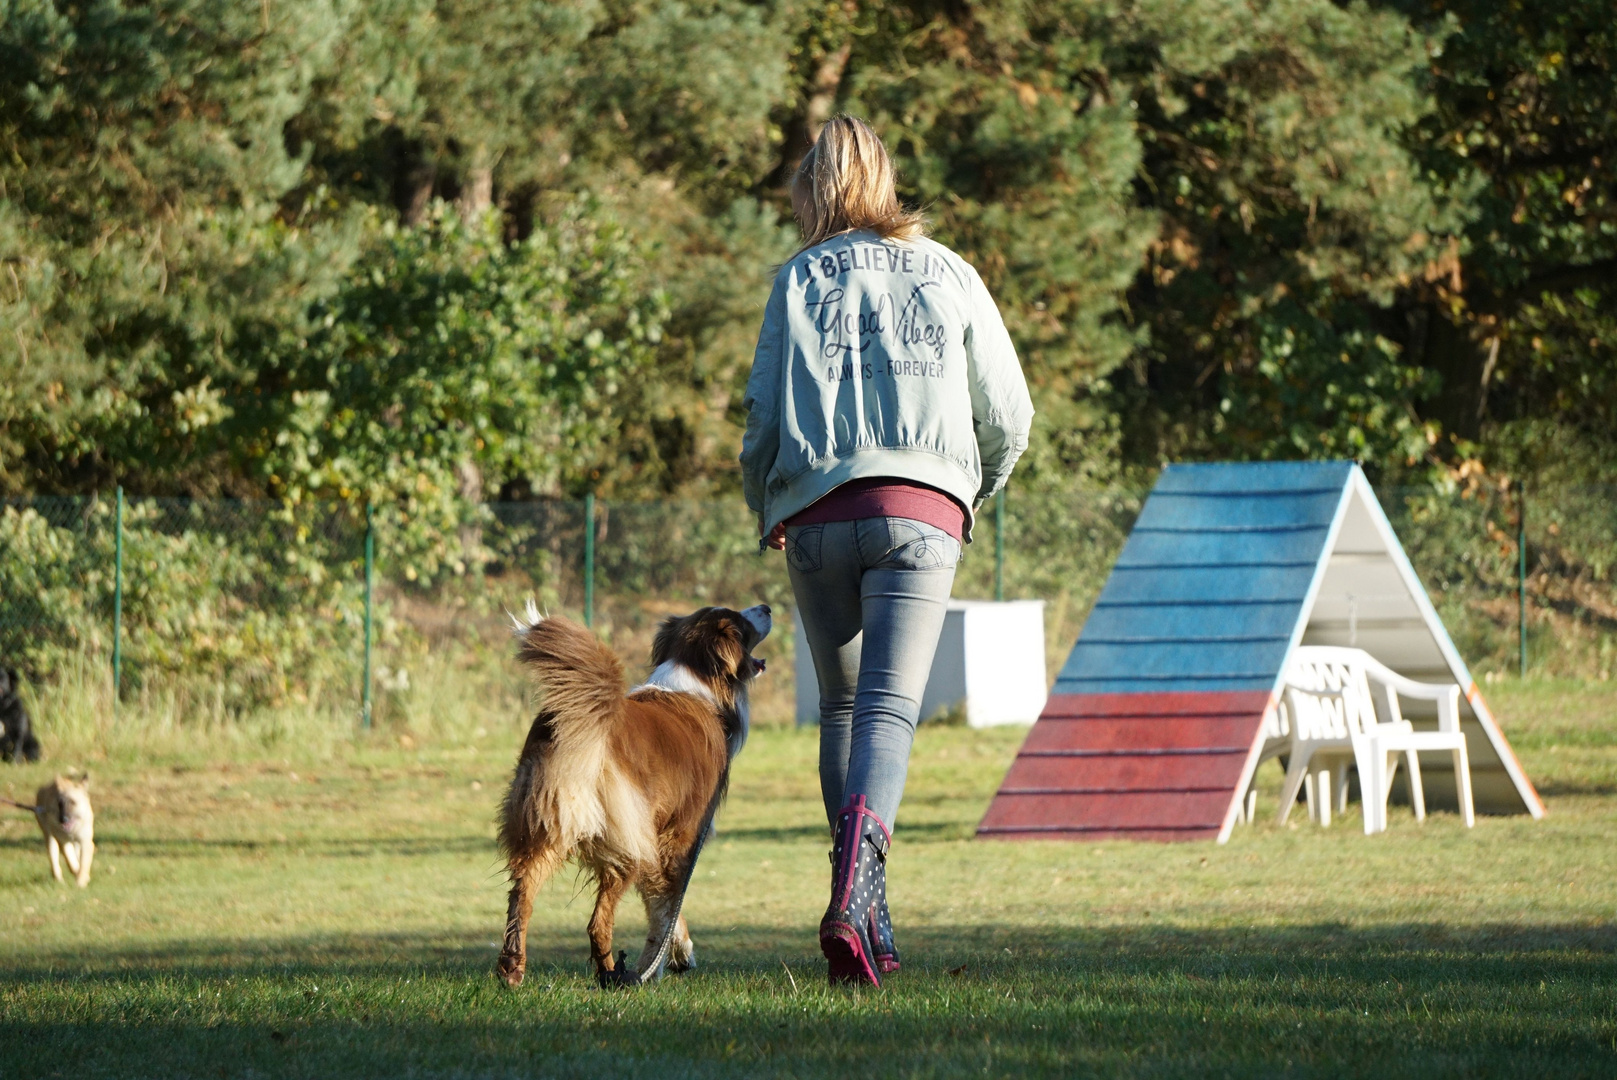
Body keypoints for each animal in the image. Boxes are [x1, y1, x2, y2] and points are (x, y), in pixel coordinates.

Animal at [491, 598, 769, 989]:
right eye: (742, 622)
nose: (767, 607)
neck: (694, 676)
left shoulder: (656, 836)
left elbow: (663, 903)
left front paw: (674, 954)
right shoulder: (679, 835)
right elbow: (667, 907)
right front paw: (660, 962)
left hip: (545, 824)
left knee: (521, 897)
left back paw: (513, 968)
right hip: (623, 840)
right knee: (597, 923)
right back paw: (616, 975)